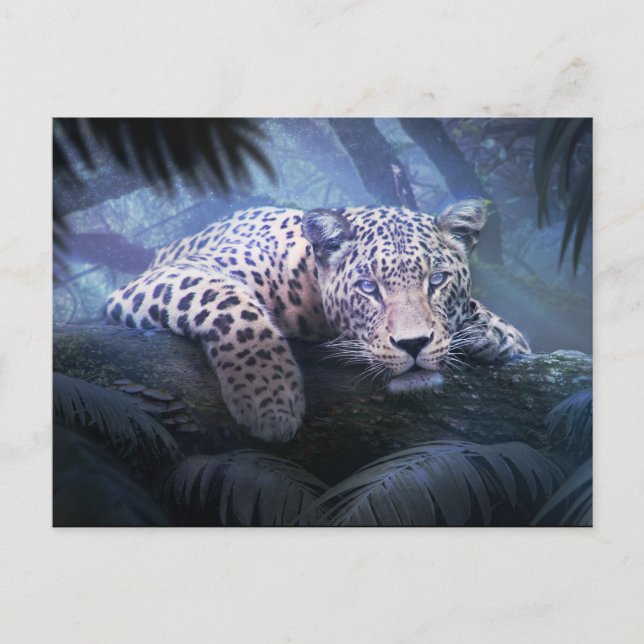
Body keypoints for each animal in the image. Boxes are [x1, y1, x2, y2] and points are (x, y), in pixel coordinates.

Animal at [104, 199, 530, 442]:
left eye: (437, 280)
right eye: (368, 287)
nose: (413, 344)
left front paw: (498, 334)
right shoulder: (174, 274)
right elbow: (230, 302)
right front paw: (269, 396)